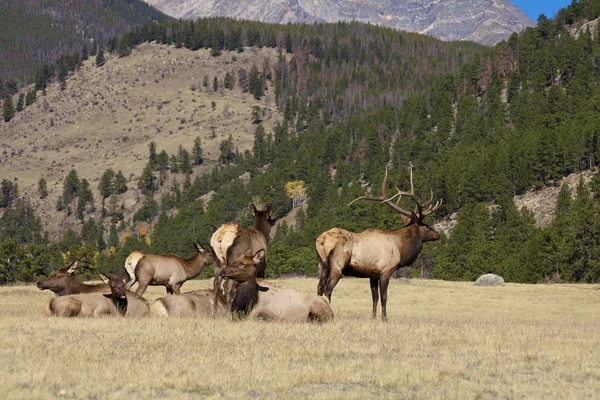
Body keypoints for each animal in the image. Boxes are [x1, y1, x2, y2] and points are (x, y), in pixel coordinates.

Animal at [316, 166, 442, 322]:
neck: (400, 248)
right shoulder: (386, 270)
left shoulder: (372, 274)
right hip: (337, 266)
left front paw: (373, 317)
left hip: (322, 265)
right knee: (328, 289)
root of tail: (321, 240)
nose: (438, 234)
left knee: (319, 288)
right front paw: (384, 318)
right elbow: (384, 297)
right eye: (426, 226)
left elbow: (374, 297)